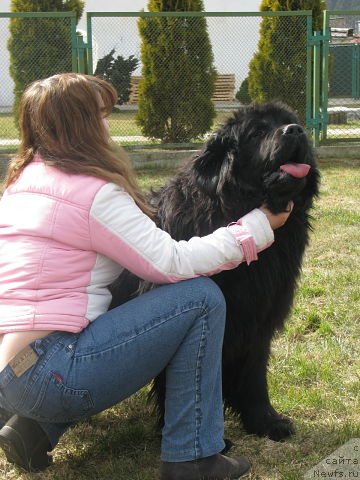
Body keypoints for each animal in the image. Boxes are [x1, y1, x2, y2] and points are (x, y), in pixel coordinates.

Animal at [109, 102, 320, 442]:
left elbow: (254, 374)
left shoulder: (259, 317)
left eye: (291, 121)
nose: (296, 131)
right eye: (257, 132)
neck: (233, 207)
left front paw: (265, 421)